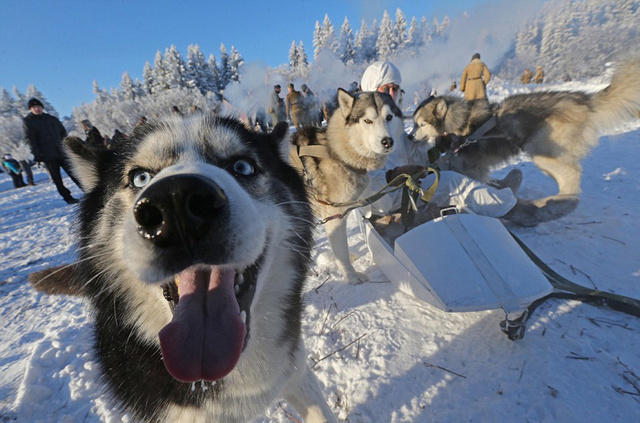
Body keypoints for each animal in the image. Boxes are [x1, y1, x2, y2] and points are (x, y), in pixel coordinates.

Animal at [294, 89, 402, 284]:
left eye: (389, 117)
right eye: (367, 121)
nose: (387, 141)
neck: (337, 152)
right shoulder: (334, 217)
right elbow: (341, 252)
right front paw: (351, 276)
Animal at [410, 58, 640, 211]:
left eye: (421, 124)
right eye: (412, 124)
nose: (410, 137)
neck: (459, 123)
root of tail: (582, 99)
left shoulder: (472, 167)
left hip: (541, 153)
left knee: (572, 172)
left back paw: (564, 200)